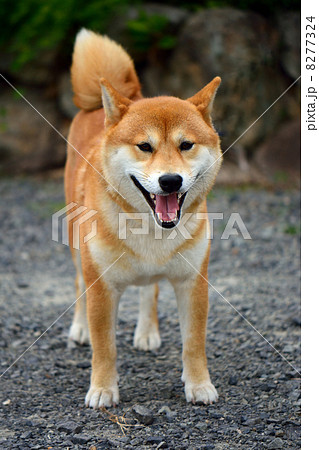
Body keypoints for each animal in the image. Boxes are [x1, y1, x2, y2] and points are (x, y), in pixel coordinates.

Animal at [65, 28, 222, 408]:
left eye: (186, 145)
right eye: (144, 146)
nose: (170, 181)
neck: (151, 230)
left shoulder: (193, 282)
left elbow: (194, 344)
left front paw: (199, 385)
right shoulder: (101, 286)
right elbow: (104, 348)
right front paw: (103, 389)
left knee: (149, 288)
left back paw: (147, 331)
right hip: (77, 249)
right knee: (77, 283)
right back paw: (79, 329)